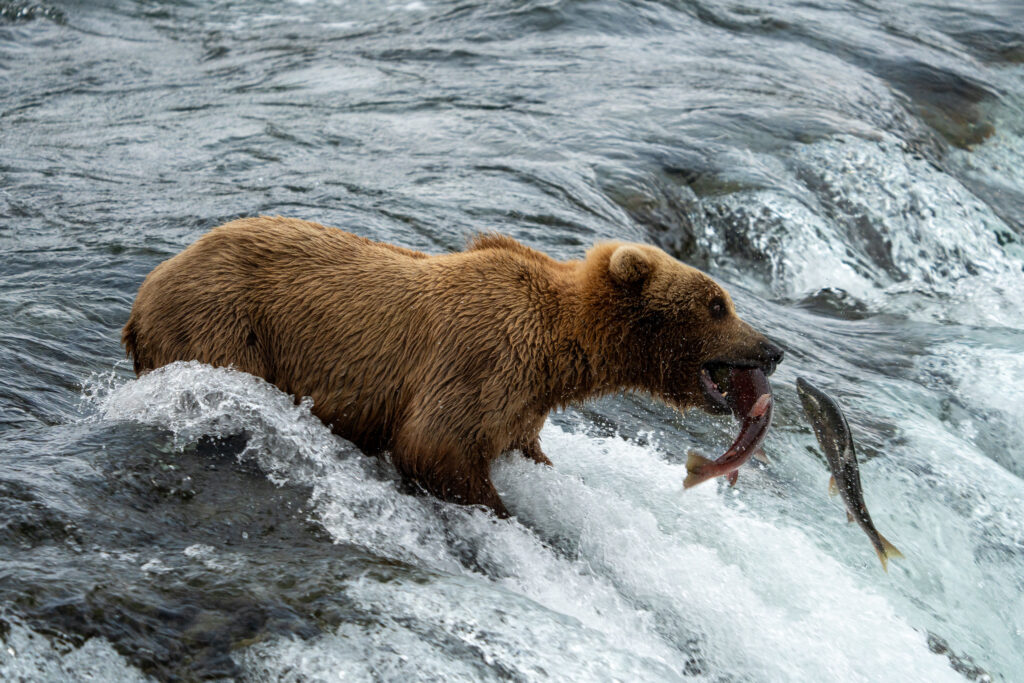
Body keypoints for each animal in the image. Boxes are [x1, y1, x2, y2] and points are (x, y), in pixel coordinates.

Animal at [122, 216, 783, 517]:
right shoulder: (483, 358)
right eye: (718, 303)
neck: (564, 347)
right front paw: (511, 516)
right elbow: (434, 444)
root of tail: (143, 293)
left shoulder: (524, 401)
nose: (774, 348)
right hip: (224, 325)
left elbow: (518, 446)